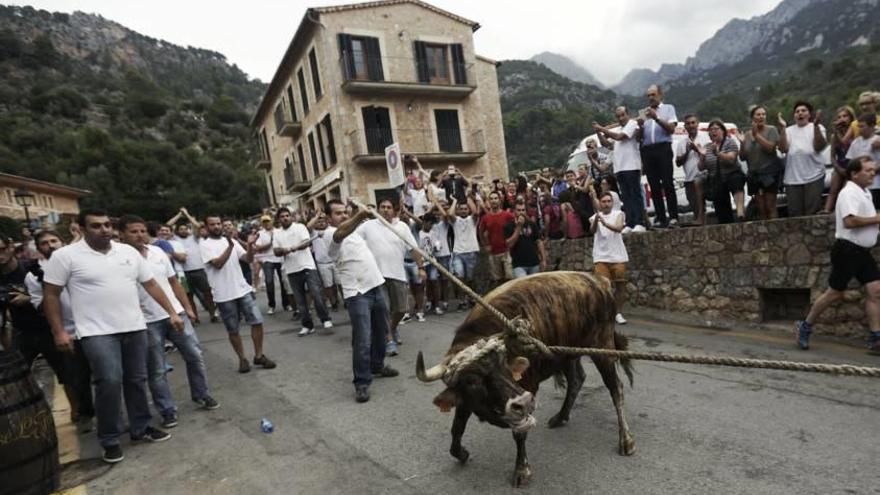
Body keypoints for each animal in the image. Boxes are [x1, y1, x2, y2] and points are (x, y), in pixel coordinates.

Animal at [416, 270, 636, 486]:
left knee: (616, 388)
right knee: (577, 380)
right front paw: (461, 453)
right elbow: (457, 427)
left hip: (602, 347)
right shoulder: (465, 400)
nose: (523, 401)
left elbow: (519, 434)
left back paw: (626, 440)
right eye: (471, 381)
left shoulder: (528, 388)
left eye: (504, 364)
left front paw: (522, 470)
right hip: (566, 354)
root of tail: (600, 281)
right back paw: (561, 416)